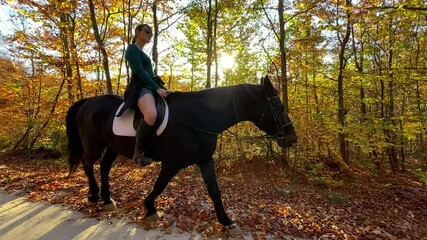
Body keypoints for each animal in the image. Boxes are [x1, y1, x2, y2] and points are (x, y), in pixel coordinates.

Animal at [67, 75, 298, 229]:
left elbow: (214, 190)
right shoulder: (172, 163)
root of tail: (87, 102)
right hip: (94, 145)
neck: (199, 117)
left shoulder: (205, 160)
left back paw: (107, 200)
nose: (291, 138)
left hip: (112, 147)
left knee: (104, 167)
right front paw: (150, 209)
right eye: (279, 106)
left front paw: (226, 220)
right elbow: (159, 186)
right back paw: (93, 196)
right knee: (88, 164)